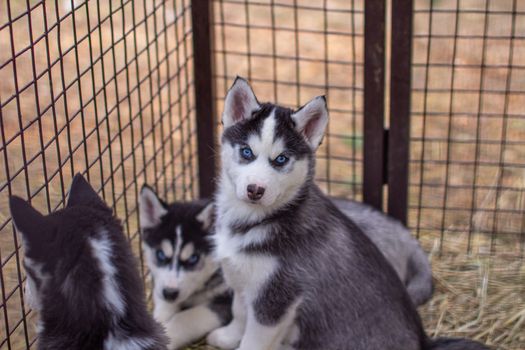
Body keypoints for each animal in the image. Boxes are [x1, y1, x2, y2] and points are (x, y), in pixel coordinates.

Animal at [137, 186, 432, 348]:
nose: (170, 293)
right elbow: (164, 309)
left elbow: (187, 318)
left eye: (193, 259)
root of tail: (404, 233)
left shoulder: (224, 300)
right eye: (160, 256)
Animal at [205, 78, 488, 350]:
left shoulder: (277, 297)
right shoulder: (242, 278)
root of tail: (424, 341)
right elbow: (239, 312)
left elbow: (254, 340)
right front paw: (227, 337)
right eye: (246, 152)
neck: (256, 219)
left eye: (281, 159)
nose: (255, 190)